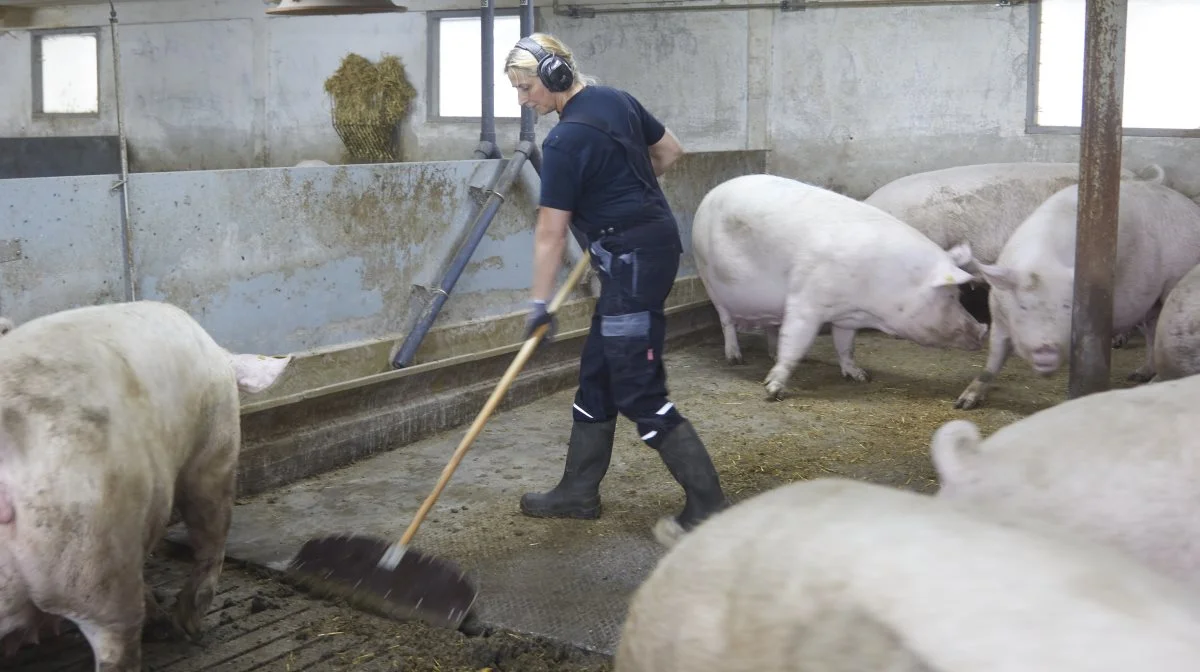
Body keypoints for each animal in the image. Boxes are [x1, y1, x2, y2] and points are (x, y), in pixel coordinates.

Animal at [696, 171, 984, 398]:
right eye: (952, 296)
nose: (982, 330)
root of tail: (712, 192)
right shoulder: (806, 301)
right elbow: (795, 344)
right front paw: (773, 390)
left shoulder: (846, 317)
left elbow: (845, 346)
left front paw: (861, 376)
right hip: (708, 279)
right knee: (726, 321)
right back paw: (735, 358)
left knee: (771, 328)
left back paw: (770, 353)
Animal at [955, 176, 1200, 410]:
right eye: (1023, 306)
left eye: (1068, 306)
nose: (1046, 350)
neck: (1043, 263)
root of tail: (1190, 207)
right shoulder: (998, 316)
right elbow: (993, 359)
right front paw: (964, 403)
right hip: (1152, 302)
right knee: (1151, 331)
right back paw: (1138, 375)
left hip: (1174, 282)